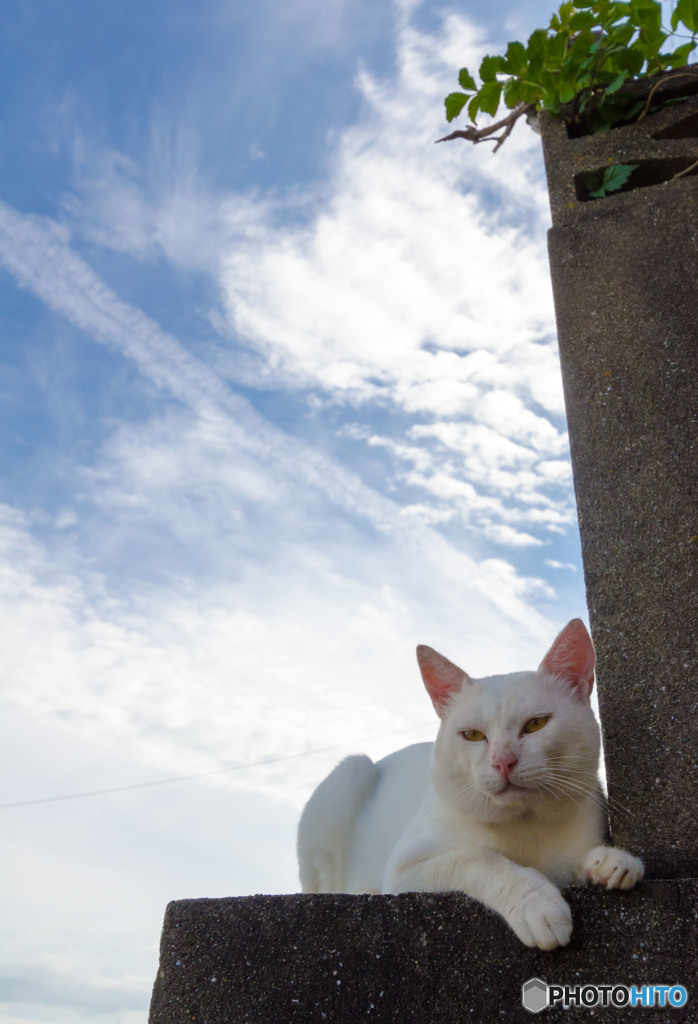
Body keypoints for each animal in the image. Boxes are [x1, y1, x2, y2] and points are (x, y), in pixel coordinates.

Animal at [294, 618, 642, 946]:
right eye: (473, 735)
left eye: (536, 724)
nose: (503, 761)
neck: (526, 825)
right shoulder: (407, 868)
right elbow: (480, 859)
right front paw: (536, 904)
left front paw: (611, 864)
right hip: (349, 776)